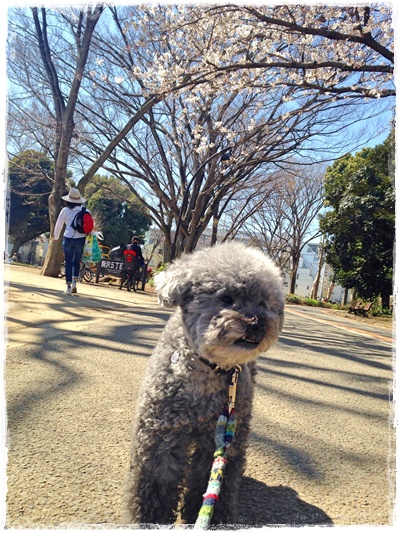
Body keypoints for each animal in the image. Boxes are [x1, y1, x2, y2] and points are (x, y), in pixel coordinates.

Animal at [125, 243, 284, 524]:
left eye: (263, 303)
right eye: (226, 298)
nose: (257, 324)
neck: (211, 368)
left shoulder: (219, 442)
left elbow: (213, 485)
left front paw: (215, 519)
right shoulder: (160, 436)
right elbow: (154, 487)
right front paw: (150, 519)